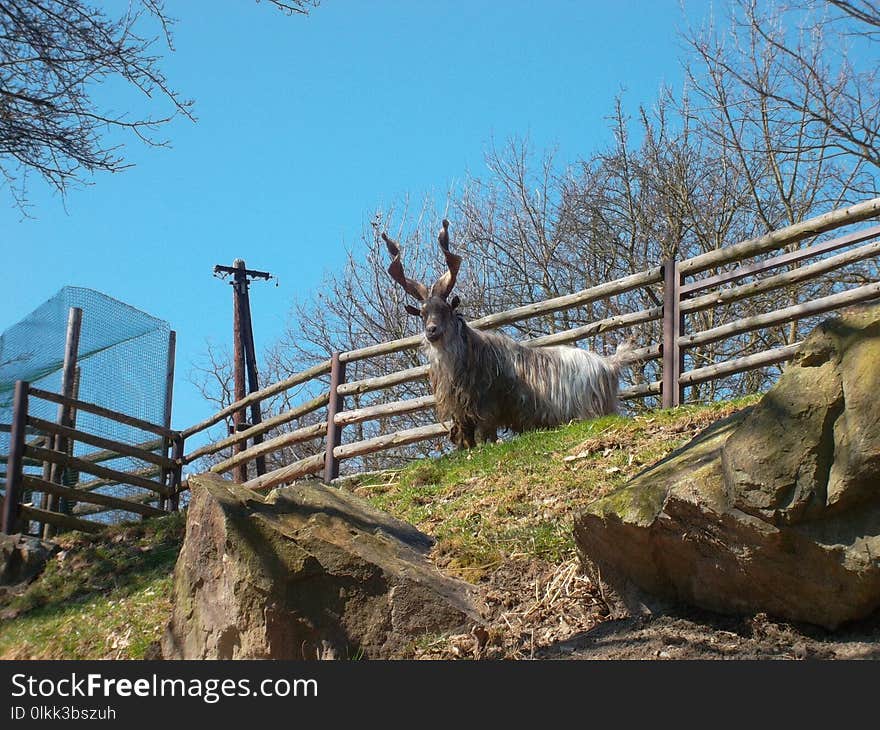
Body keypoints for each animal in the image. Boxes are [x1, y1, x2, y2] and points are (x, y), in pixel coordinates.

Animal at [384, 219, 632, 446]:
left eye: (445, 309)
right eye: (422, 313)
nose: (431, 331)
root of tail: (610, 365)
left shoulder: (487, 410)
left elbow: (485, 439)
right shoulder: (463, 416)